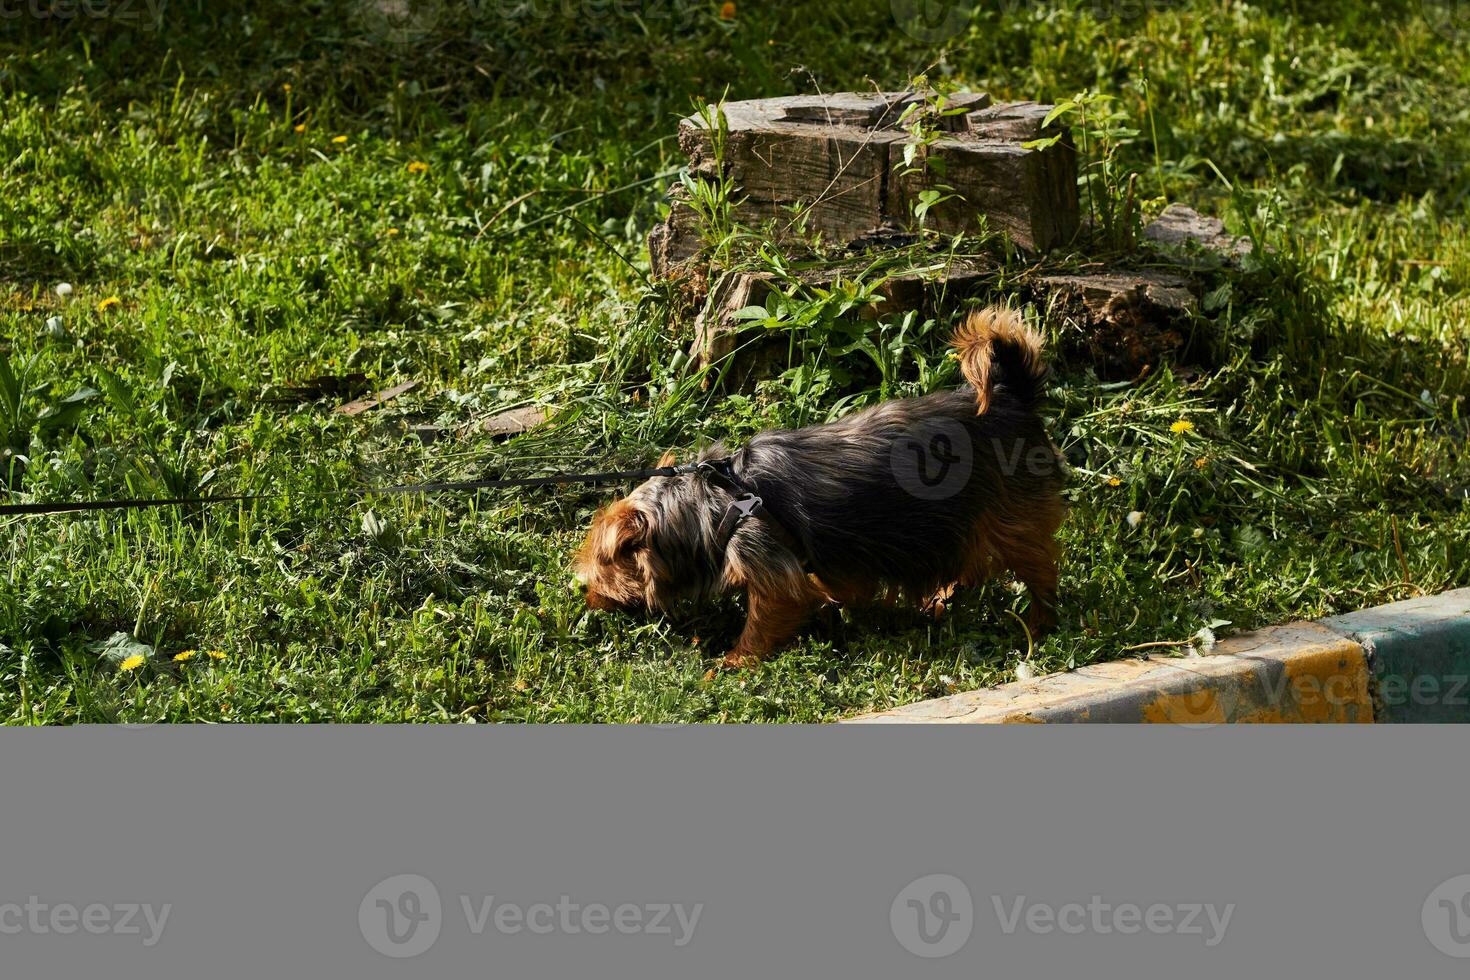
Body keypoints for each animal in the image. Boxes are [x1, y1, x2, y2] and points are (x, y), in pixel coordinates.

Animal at [573, 307, 1070, 667]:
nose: (586, 596)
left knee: (1039, 571)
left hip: (1013, 521)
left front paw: (731, 664)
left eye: (602, 563)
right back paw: (940, 599)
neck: (712, 505)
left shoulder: (773, 574)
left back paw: (1038, 622)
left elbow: (764, 621)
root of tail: (1011, 394)